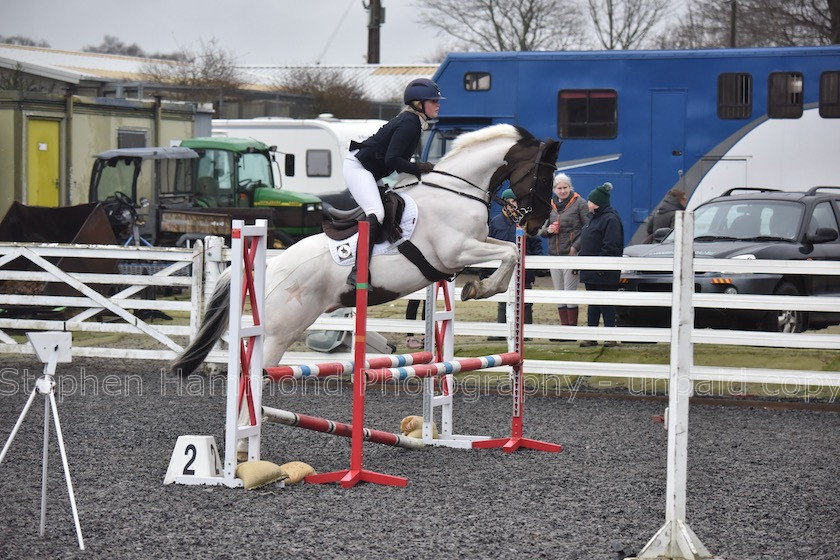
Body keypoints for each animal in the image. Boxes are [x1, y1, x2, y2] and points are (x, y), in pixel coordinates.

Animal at [172, 124, 556, 374]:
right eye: (542, 175)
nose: (537, 224)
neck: (456, 190)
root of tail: (267, 268)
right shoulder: (456, 252)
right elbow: (508, 254)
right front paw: (480, 288)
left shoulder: (474, 245)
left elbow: (509, 250)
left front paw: (480, 287)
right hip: (281, 330)